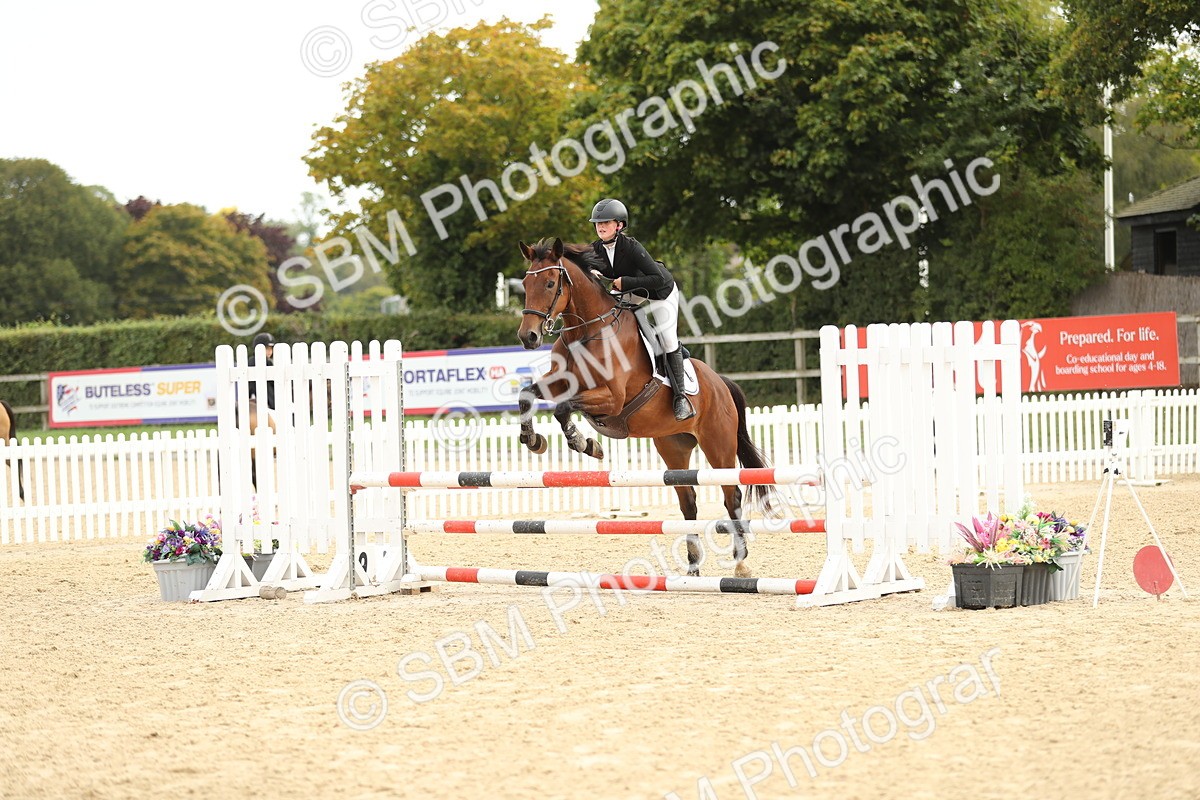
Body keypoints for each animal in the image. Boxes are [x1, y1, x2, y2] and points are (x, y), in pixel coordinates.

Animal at [516, 237, 775, 578]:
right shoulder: (561, 383)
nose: (528, 337)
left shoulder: (612, 398)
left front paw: (583, 442)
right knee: (688, 500)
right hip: (673, 447)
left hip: (718, 445)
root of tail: (721, 382)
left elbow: (563, 409)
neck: (586, 332)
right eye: (524, 284)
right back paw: (693, 566)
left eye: (549, 283)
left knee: (731, 495)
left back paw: (741, 564)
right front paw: (533, 440)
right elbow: (527, 395)